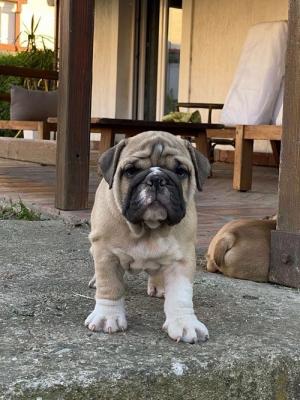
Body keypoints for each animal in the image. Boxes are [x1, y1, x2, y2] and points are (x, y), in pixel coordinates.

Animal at [84, 131, 211, 344]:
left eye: (180, 171)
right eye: (131, 171)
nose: (157, 179)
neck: (148, 228)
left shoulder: (182, 259)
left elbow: (181, 295)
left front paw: (185, 323)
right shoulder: (106, 253)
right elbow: (110, 285)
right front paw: (107, 317)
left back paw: (159, 286)